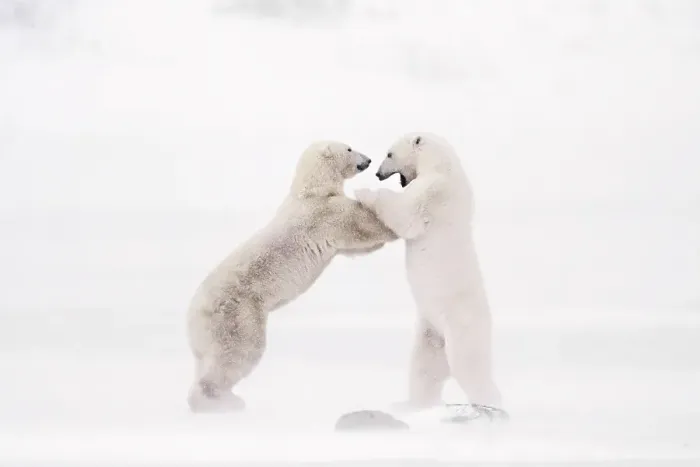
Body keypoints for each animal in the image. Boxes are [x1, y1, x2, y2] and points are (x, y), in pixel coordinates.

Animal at [187, 140, 398, 413]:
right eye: (350, 148)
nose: (369, 160)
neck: (310, 189)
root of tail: (194, 312)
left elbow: (356, 249)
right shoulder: (326, 214)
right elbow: (363, 226)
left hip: (208, 333)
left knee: (205, 359)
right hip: (238, 314)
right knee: (238, 352)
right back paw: (222, 401)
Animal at [354, 132, 506, 418]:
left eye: (389, 154)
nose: (378, 173)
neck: (443, 166)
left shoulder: (434, 192)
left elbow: (406, 213)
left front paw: (362, 192)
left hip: (462, 326)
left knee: (469, 367)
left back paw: (493, 407)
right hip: (431, 332)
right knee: (425, 368)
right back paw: (409, 405)